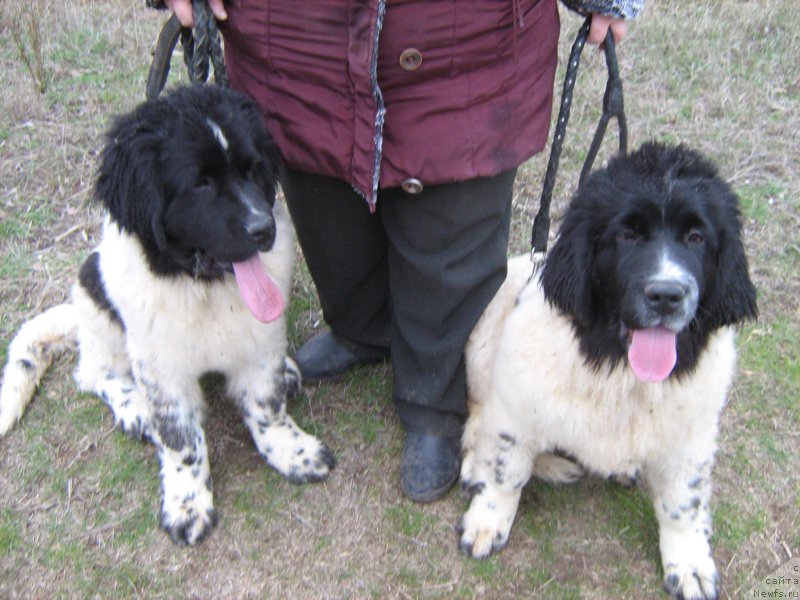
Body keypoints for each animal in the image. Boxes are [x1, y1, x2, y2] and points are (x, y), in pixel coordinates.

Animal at [0, 85, 334, 548]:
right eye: (201, 183)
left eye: (253, 170)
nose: (263, 229)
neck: (202, 285)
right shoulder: (160, 366)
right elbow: (181, 439)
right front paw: (188, 503)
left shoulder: (260, 339)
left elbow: (267, 405)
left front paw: (292, 452)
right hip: (94, 294)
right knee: (93, 372)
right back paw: (133, 407)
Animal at [460, 143, 760, 596]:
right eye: (627, 235)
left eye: (696, 238)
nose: (666, 295)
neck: (618, 365)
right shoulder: (515, 407)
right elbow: (504, 470)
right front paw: (486, 522)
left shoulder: (692, 435)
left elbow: (683, 504)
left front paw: (690, 564)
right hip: (486, 330)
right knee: (478, 416)